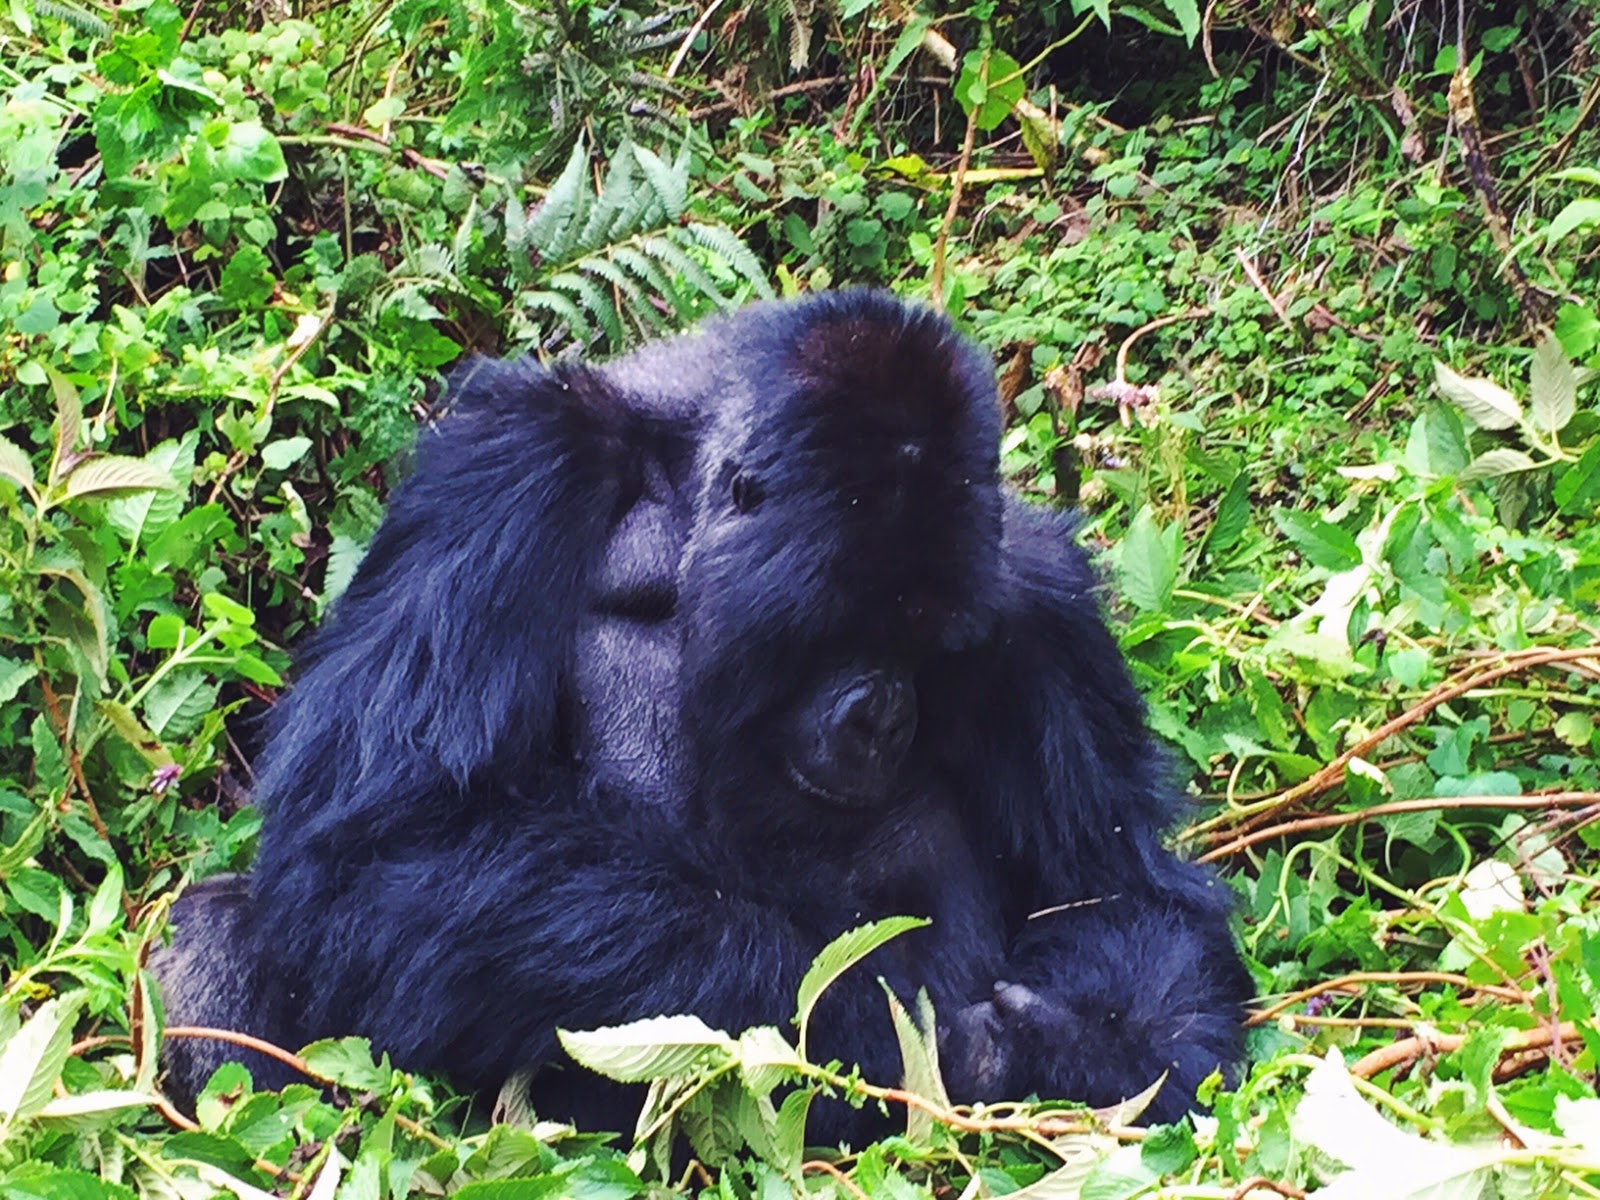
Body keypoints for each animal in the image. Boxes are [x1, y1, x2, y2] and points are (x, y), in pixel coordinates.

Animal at [152, 289, 1248, 1139]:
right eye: (835, 631)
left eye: (935, 648)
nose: (880, 718)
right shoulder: (515, 454)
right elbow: (381, 843)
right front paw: (898, 1030)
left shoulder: (1036, 592)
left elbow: (1115, 896)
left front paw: (1075, 1058)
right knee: (224, 926)